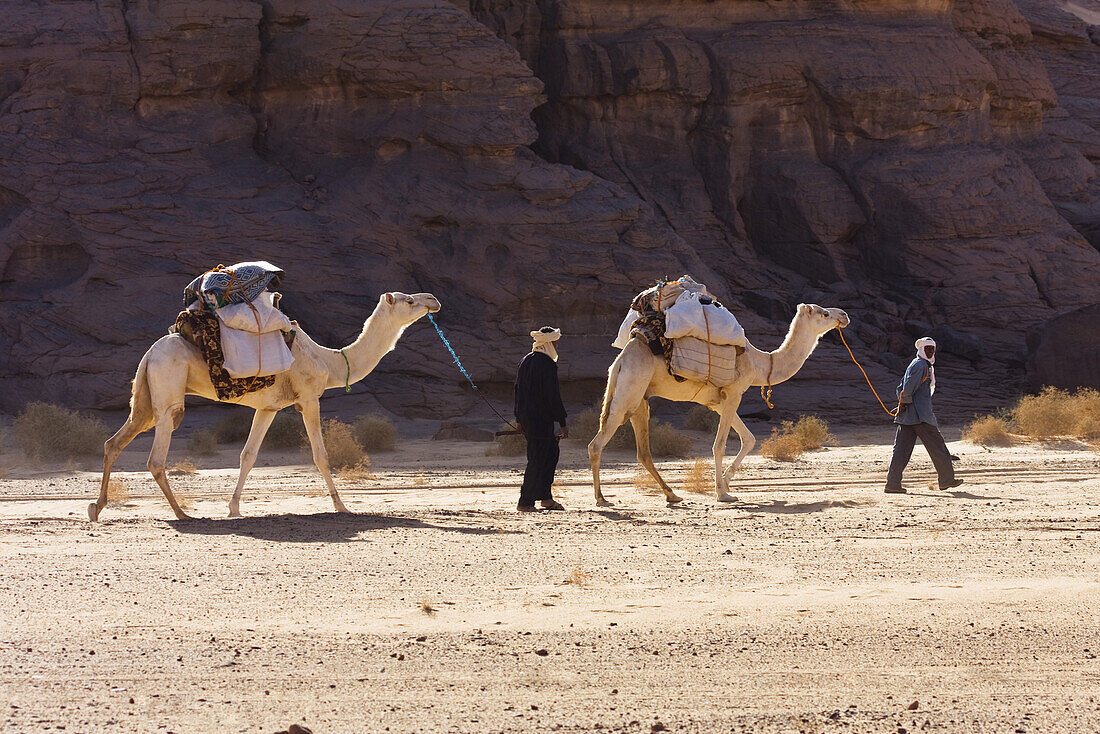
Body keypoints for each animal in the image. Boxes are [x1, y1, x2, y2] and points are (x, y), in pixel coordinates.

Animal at [90, 290, 440, 519]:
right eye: (409, 300)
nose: (434, 300)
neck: (328, 361)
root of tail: (150, 354)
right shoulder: (308, 398)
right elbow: (321, 456)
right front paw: (341, 506)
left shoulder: (268, 408)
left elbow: (248, 456)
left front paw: (233, 508)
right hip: (168, 392)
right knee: (155, 458)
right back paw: (183, 514)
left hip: (146, 400)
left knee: (114, 441)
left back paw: (97, 507)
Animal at [589, 290, 844, 508]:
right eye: (824, 313)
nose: (845, 315)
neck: (760, 363)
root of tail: (619, 362)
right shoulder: (734, 393)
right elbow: (719, 445)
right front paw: (723, 493)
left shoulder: (717, 401)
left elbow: (749, 439)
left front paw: (727, 481)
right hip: (628, 392)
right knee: (597, 444)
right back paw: (601, 498)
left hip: (638, 399)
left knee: (643, 452)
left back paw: (672, 495)